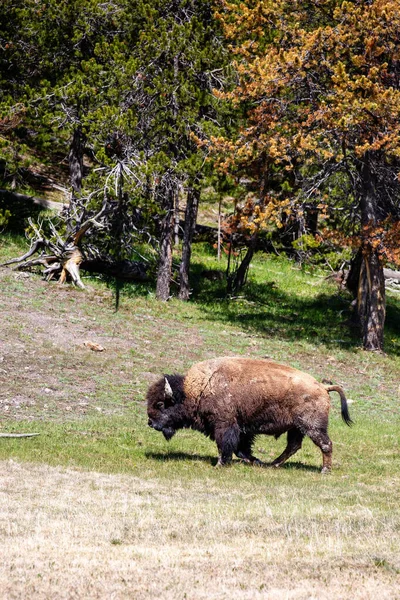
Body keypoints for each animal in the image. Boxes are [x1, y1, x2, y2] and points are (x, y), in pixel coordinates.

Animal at [147, 356, 354, 474]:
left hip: (312, 427)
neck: (197, 389)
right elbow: (241, 448)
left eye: (160, 404)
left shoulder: (224, 425)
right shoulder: (242, 430)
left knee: (325, 444)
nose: (150, 423)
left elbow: (225, 445)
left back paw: (324, 470)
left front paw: (219, 465)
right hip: (296, 428)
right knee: (293, 446)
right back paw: (273, 464)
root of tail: (322, 386)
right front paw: (254, 460)